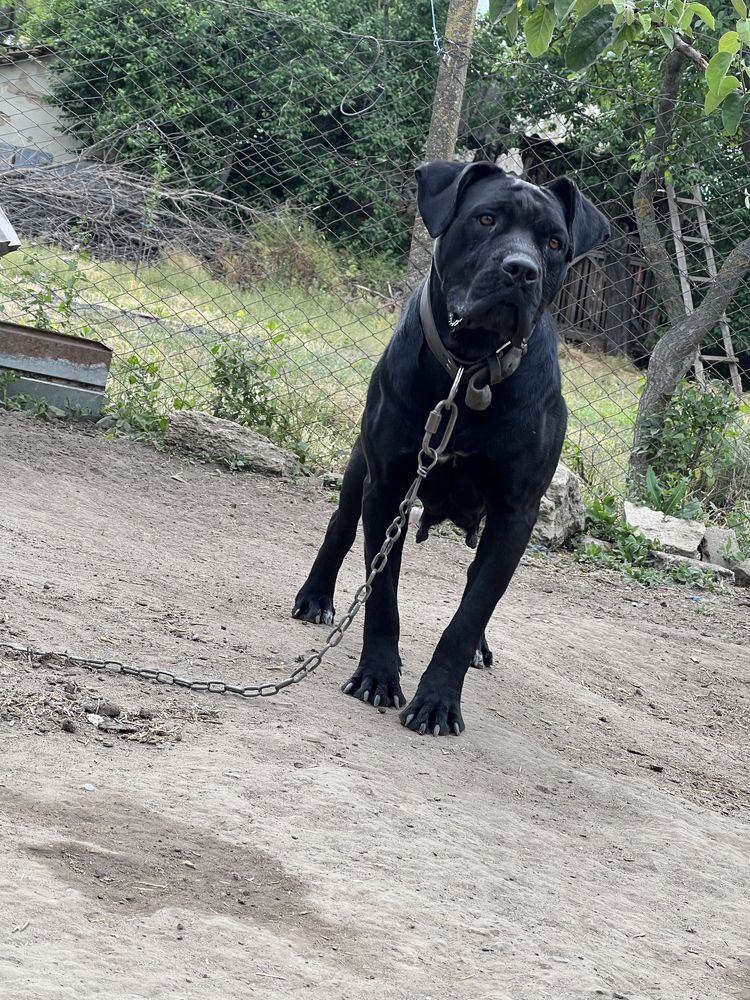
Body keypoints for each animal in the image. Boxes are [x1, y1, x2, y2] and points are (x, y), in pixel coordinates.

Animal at [294, 162, 612, 736]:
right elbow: (383, 598)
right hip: (359, 474)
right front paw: (378, 676)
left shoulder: (515, 514)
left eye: (554, 242)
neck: (470, 371)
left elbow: (471, 612)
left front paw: (439, 699)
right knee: (339, 529)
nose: (521, 270)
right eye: (486, 219)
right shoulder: (389, 487)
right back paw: (316, 597)